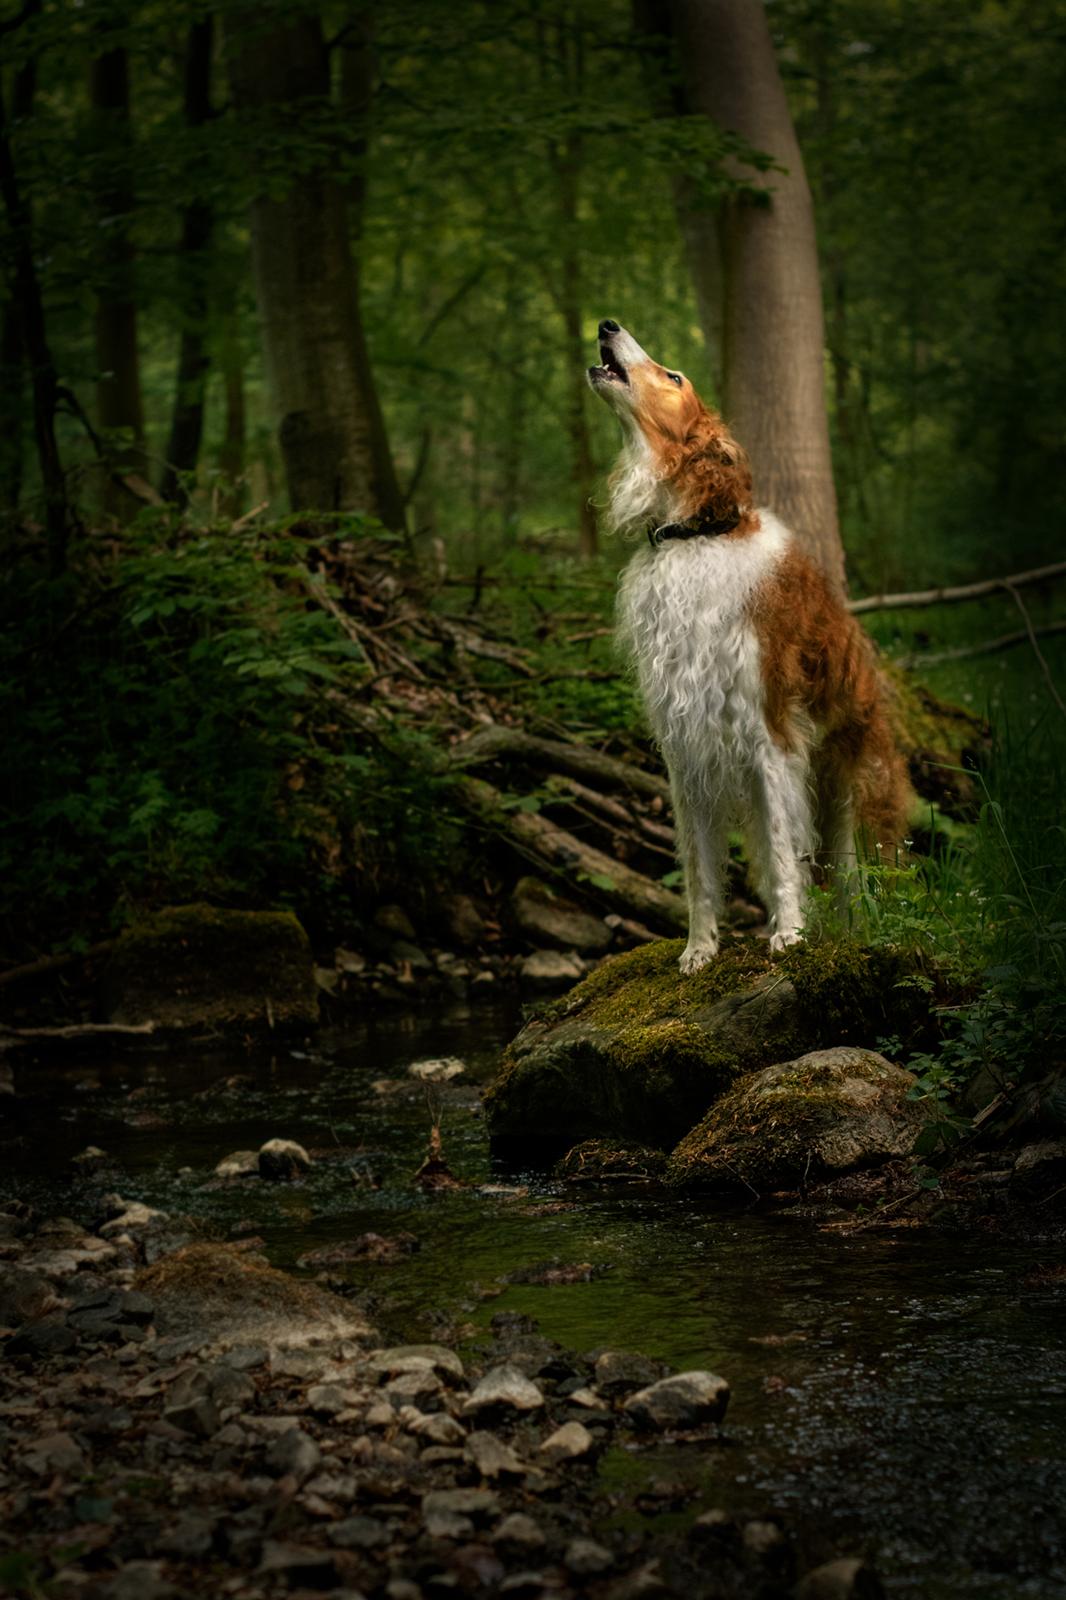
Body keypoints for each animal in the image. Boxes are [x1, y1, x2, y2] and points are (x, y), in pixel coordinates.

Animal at [589, 318, 902, 966]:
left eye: (674, 376)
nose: (607, 324)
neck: (694, 537)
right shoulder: (684, 748)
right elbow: (700, 869)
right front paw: (699, 949)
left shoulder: (769, 734)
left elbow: (784, 853)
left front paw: (789, 935)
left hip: (854, 796)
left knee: (856, 882)